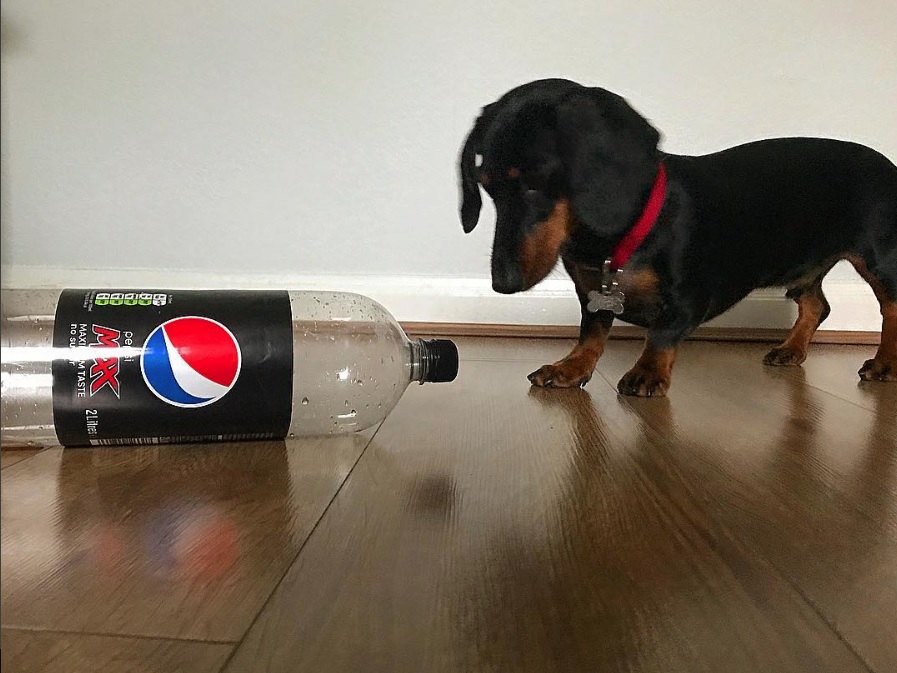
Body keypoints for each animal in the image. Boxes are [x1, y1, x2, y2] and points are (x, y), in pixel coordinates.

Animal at [458, 78, 892, 394]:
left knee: (891, 309)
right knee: (816, 305)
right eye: (486, 186)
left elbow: (662, 334)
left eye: (534, 184)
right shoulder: (592, 294)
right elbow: (592, 333)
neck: (606, 242)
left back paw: (884, 364)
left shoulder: (691, 297)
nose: (502, 284)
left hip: (880, 260)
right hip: (803, 269)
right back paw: (791, 350)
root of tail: (888, 165)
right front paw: (570, 366)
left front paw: (647, 371)